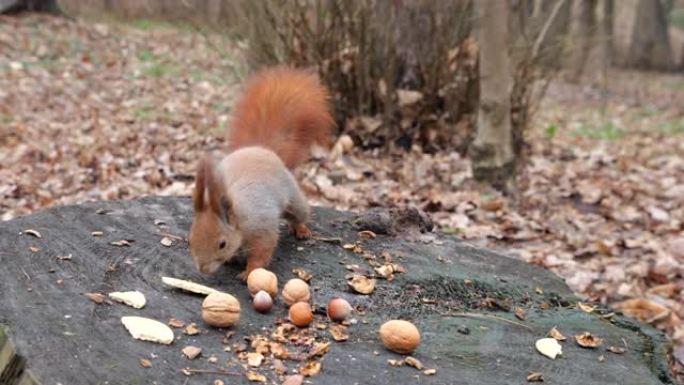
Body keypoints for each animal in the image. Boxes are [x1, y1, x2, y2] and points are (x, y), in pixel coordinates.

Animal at [188, 67, 336, 280]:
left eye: (222, 244)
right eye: (190, 240)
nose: (203, 269)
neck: (238, 217)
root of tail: (262, 149)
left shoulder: (261, 226)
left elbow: (263, 251)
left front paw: (249, 271)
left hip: (293, 196)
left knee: (300, 213)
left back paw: (301, 229)